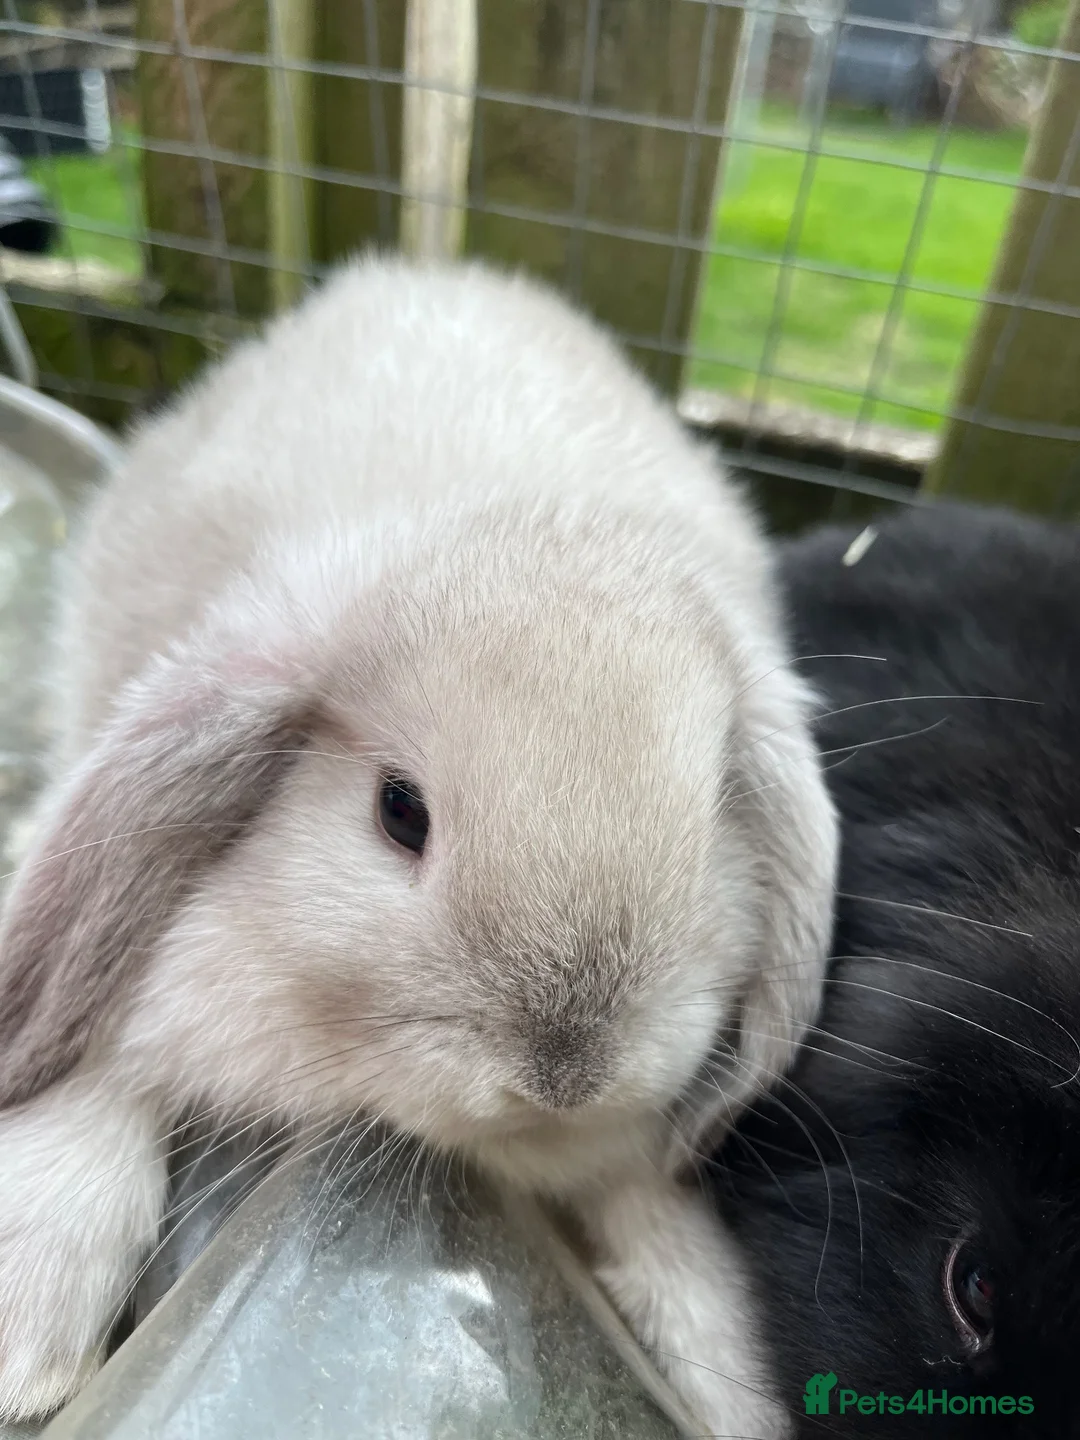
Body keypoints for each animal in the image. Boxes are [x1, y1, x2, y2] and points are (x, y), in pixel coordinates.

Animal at [0, 255, 837, 1433]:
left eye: (717, 810)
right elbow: (95, 1088)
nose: (567, 1070)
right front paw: (24, 1349)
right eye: (400, 812)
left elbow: (687, 1284)